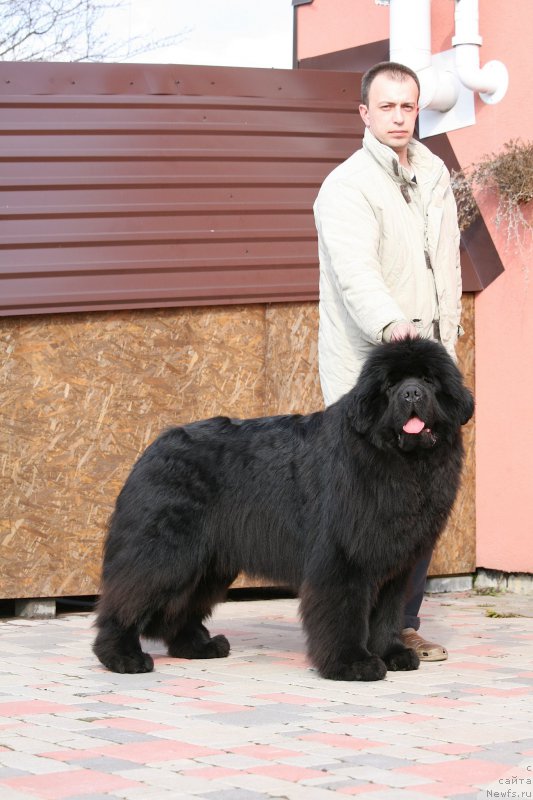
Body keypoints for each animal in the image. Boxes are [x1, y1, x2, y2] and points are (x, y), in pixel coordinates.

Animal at [93, 338, 472, 680]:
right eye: (391, 385)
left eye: (429, 381)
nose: (412, 394)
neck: (400, 462)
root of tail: (153, 448)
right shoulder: (343, 557)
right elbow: (345, 613)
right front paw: (352, 664)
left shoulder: (395, 564)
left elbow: (387, 615)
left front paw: (392, 653)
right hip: (166, 553)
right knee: (129, 597)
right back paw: (122, 656)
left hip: (208, 562)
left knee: (181, 607)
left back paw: (198, 646)